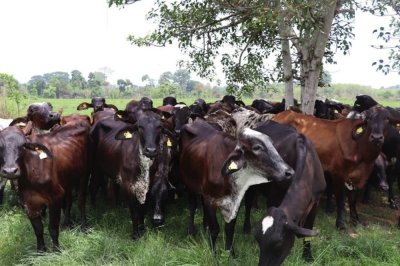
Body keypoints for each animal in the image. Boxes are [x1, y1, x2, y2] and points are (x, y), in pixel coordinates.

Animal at [0, 122, 90, 251]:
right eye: (0, 146)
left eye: (23, 145)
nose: (10, 171)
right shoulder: (28, 202)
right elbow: (38, 229)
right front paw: (41, 250)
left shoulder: (55, 197)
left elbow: (52, 228)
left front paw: (56, 250)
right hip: (67, 178)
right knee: (68, 201)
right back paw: (67, 224)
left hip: (85, 174)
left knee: (81, 201)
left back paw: (83, 226)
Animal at [179, 120, 294, 254]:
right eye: (257, 147)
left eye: (272, 144)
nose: (289, 172)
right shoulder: (210, 199)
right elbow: (215, 229)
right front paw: (214, 253)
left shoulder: (236, 200)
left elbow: (229, 228)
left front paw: (230, 252)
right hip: (189, 183)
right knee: (192, 205)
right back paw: (191, 230)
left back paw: (205, 224)